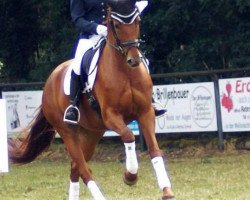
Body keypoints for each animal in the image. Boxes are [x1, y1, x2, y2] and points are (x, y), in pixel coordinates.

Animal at [8, 0, 175, 199]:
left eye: (138, 21)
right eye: (116, 25)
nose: (134, 60)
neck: (125, 71)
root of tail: (49, 81)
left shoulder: (145, 112)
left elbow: (155, 150)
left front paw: (166, 190)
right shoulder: (111, 115)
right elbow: (128, 136)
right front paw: (130, 176)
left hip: (91, 133)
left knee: (75, 168)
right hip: (68, 132)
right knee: (83, 169)